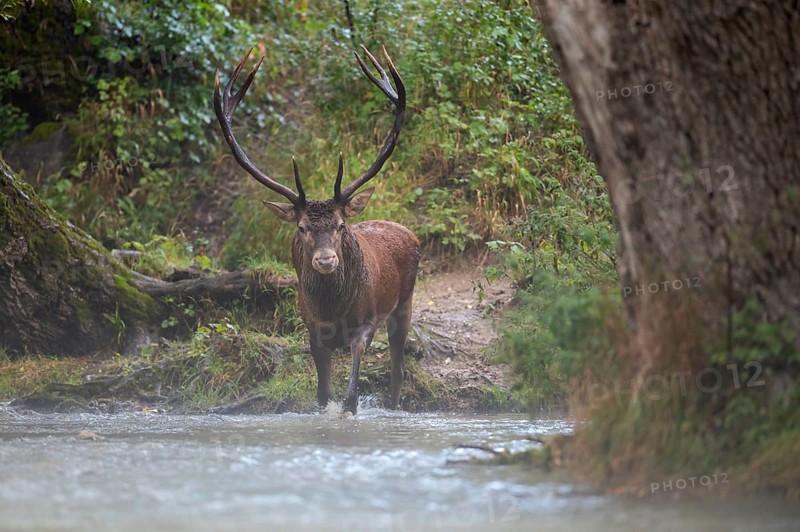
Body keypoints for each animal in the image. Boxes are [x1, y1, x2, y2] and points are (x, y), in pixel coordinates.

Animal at [214, 46, 419, 415]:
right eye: (301, 227)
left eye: (340, 225)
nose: (325, 260)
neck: (332, 311)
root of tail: (407, 231)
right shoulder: (312, 329)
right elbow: (322, 396)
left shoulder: (366, 322)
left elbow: (350, 396)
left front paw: (350, 405)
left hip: (404, 303)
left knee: (397, 371)